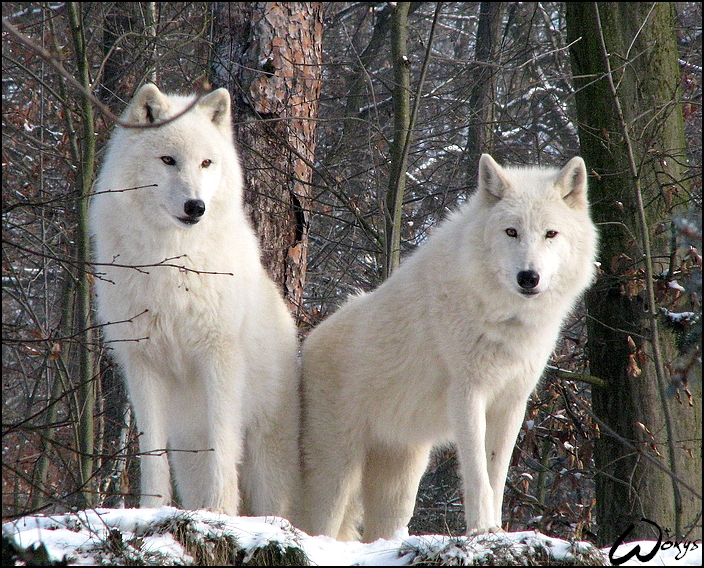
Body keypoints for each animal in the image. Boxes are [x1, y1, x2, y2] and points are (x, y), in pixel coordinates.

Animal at [89, 85, 298, 520]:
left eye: (206, 163)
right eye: (168, 160)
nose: (195, 207)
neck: (172, 261)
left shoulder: (218, 356)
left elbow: (223, 447)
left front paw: (220, 512)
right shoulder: (142, 364)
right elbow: (150, 453)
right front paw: (152, 509)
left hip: (269, 463)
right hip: (188, 451)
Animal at [300, 152, 596, 540]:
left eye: (551, 233)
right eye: (511, 231)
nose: (528, 277)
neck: (505, 321)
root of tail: (308, 343)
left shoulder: (511, 404)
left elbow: (496, 476)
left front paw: (497, 530)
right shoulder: (467, 395)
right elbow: (477, 475)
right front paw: (482, 529)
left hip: (400, 482)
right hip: (336, 476)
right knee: (316, 525)